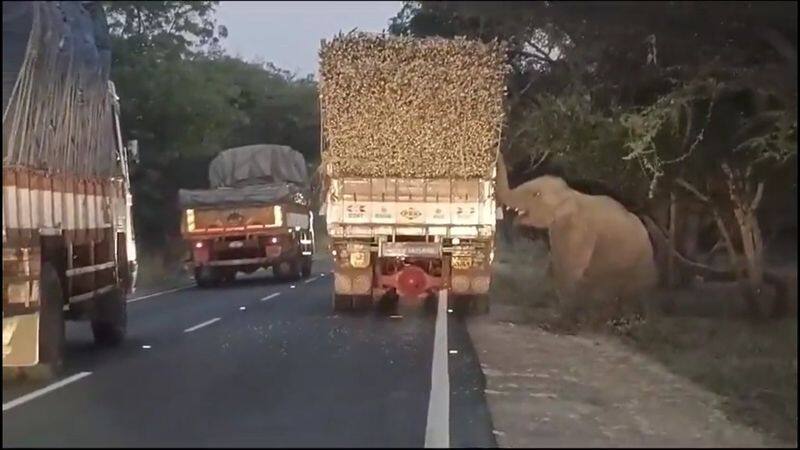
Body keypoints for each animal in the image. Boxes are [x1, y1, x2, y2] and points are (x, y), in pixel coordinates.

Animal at [496, 156, 660, 322]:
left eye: (536, 194)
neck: (571, 194)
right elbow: (557, 264)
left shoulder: (579, 231)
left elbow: (570, 269)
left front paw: (559, 319)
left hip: (642, 262)